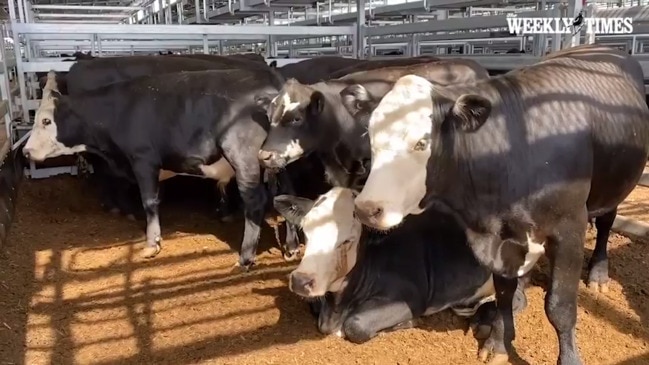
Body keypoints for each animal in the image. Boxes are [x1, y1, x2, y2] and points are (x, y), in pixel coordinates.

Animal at [20, 66, 298, 268]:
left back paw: (245, 258)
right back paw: (291, 247)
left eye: (46, 121)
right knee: (286, 196)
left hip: (243, 158)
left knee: (255, 202)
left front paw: (151, 244)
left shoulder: (143, 160)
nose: (26, 151)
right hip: (277, 162)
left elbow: (149, 202)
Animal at [270, 188, 528, 344]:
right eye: (306, 231)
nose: (301, 280)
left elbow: (355, 326)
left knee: (517, 298)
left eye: (346, 240)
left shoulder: (410, 298)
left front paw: (408, 323)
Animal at [352, 43, 648, 364]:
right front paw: (498, 342)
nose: (366, 208)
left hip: (615, 185)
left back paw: (598, 273)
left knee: (606, 222)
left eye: (421, 143)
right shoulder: (499, 236)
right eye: (371, 138)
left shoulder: (570, 227)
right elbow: (504, 291)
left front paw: (569, 358)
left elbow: (560, 305)